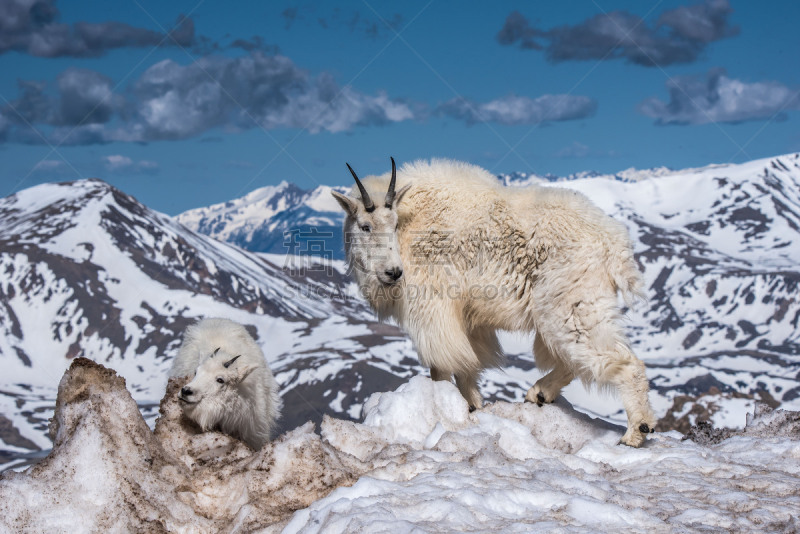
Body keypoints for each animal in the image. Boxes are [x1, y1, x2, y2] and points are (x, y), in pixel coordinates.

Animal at [334, 158, 660, 448]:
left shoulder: (433, 307)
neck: (412, 224)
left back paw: (636, 431)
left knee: (620, 361)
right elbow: (467, 366)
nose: (393, 272)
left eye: (394, 223)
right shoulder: (468, 319)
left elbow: (441, 365)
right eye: (364, 226)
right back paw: (539, 394)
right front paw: (474, 406)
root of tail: (614, 242)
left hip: (571, 303)